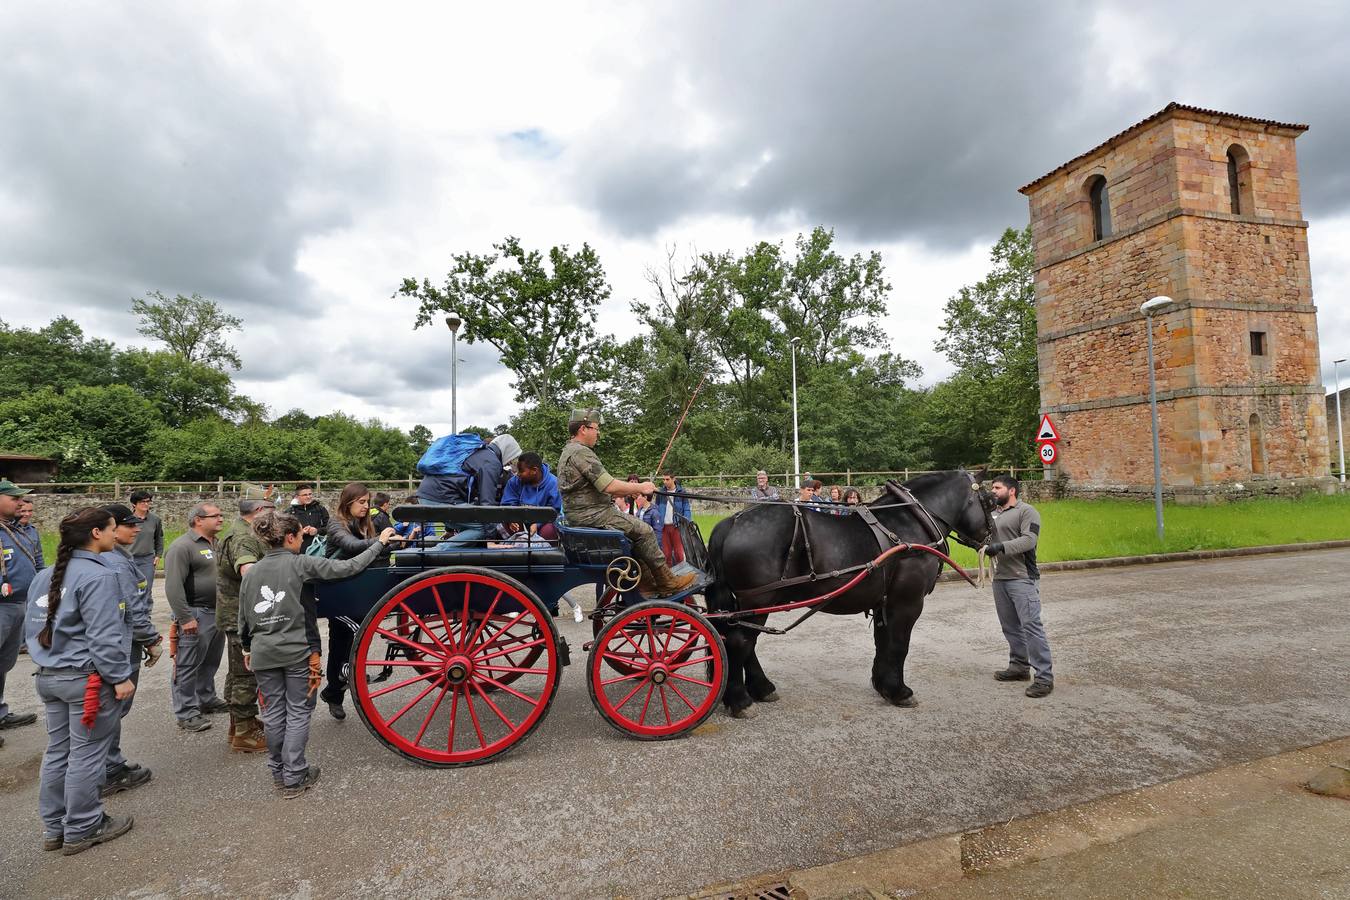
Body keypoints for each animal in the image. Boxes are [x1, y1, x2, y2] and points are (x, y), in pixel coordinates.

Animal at [707, 472, 993, 717]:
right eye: (989, 501)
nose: (991, 540)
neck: (910, 522)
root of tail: (733, 521)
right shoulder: (907, 603)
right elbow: (899, 645)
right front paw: (899, 692)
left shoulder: (884, 603)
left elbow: (882, 642)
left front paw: (883, 684)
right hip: (758, 599)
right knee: (739, 642)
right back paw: (740, 700)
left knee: (744, 642)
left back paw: (761, 688)